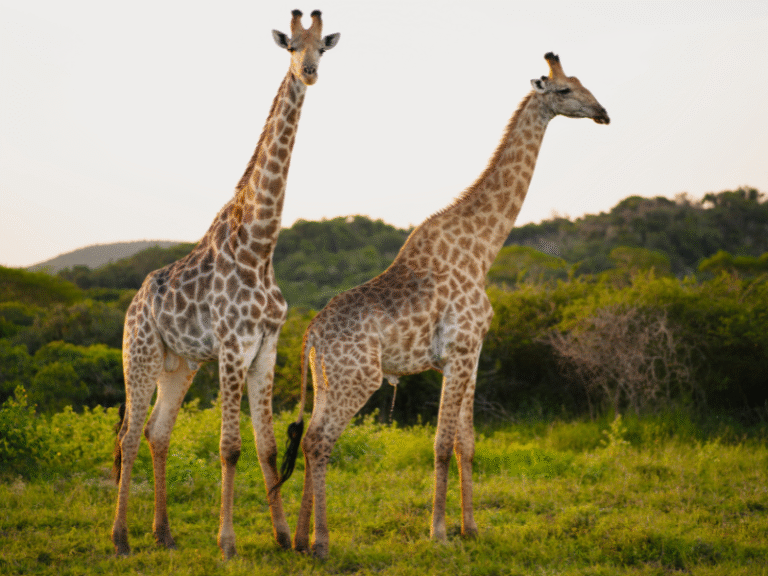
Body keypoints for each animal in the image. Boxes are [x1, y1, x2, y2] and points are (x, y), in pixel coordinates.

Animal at [110, 10, 340, 559]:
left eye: (322, 46)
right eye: (291, 46)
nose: (309, 72)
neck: (259, 247)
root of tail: (132, 304)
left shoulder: (266, 347)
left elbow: (267, 445)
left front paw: (283, 536)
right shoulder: (233, 347)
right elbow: (230, 448)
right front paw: (228, 542)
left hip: (179, 364)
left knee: (157, 432)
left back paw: (164, 533)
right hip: (139, 354)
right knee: (129, 435)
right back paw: (121, 537)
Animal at [275, 52, 609, 558]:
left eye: (582, 82)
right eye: (565, 90)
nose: (603, 113)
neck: (482, 249)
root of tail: (311, 335)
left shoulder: (472, 356)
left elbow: (466, 443)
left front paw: (471, 529)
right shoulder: (457, 353)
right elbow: (440, 442)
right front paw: (438, 533)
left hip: (326, 379)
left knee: (308, 436)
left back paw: (298, 538)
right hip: (360, 378)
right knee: (318, 442)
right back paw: (321, 544)